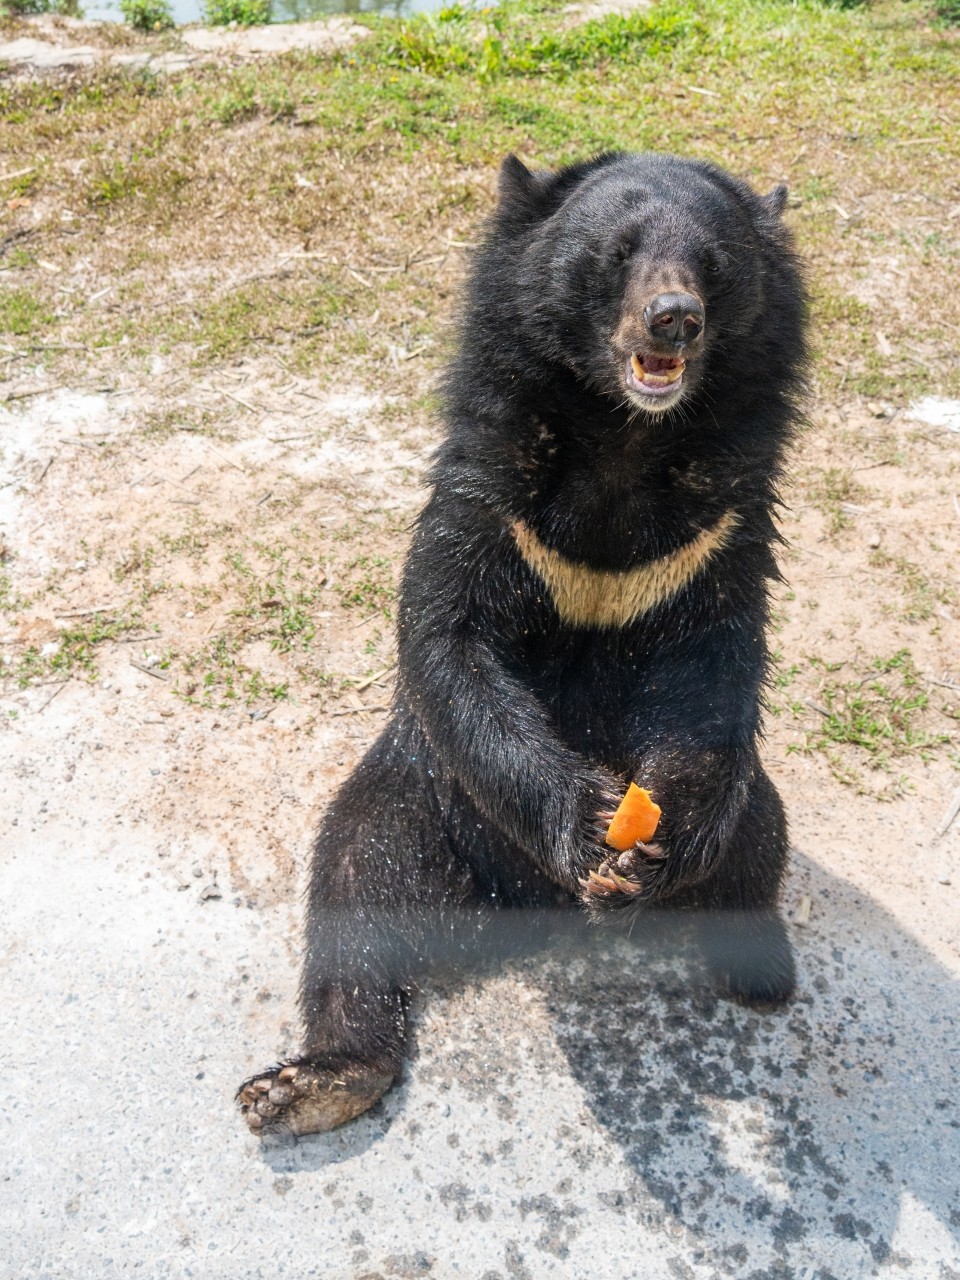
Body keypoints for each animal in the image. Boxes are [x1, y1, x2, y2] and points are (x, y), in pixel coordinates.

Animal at [239, 152, 803, 1141]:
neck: (626, 433)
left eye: (713, 265)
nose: (673, 317)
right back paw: (313, 1083)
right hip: (419, 796)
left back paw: (760, 970)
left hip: (754, 808)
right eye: (615, 255)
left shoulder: (720, 528)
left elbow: (712, 670)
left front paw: (653, 843)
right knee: (354, 885)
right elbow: (450, 638)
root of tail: (532, 915)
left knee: (757, 844)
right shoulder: (488, 493)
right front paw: (588, 827)